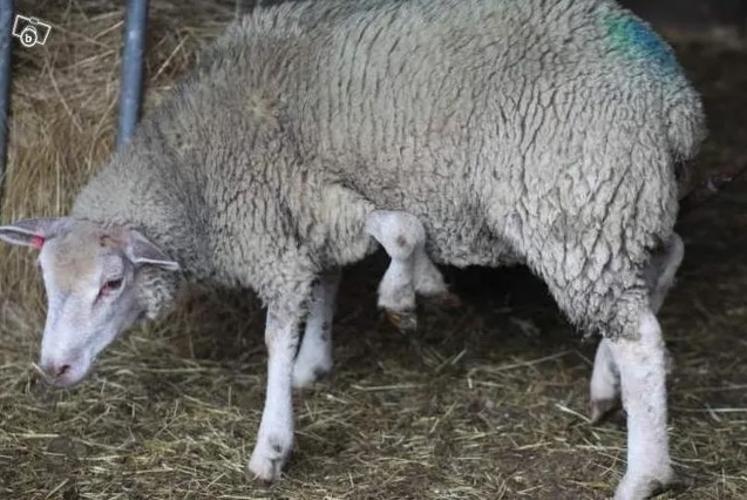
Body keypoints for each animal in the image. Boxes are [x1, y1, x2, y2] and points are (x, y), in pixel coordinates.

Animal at [0, 0, 706, 498]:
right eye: (46, 281)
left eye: (112, 283)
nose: (52, 369)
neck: (190, 168)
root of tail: (675, 100)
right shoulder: (312, 211)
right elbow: (336, 278)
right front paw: (321, 357)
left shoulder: (290, 210)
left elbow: (370, 255)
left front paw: (273, 442)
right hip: (623, 201)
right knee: (663, 263)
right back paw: (608, 385)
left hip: (575, 204)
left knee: (640, 337)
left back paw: (642, 473)